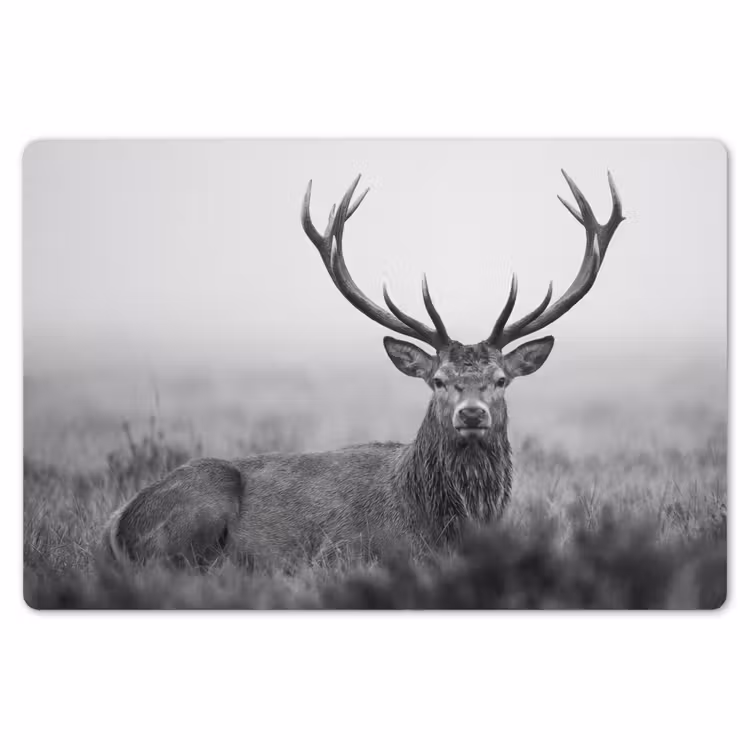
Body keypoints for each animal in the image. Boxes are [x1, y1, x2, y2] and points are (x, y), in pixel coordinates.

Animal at [105, 171, 624, 567]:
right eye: (438, 381)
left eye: (500, 380)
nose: (473, 413)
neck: (443, 519)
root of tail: (117, 524)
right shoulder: (355, 550)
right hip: (198, 509)